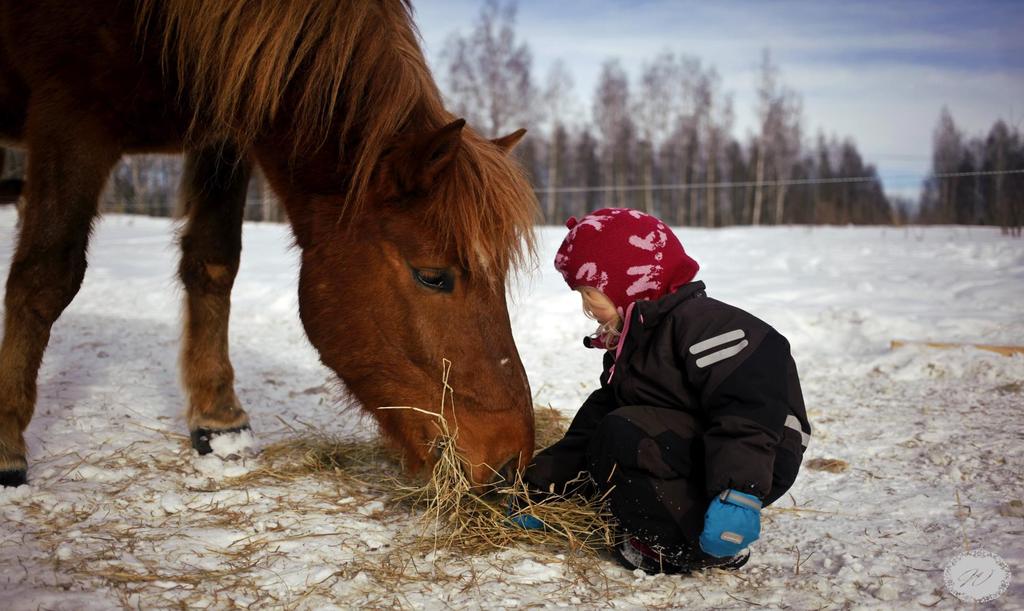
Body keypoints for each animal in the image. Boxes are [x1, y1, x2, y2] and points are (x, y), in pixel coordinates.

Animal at [0, 0, 540, 485]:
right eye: (432, 276)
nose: (509, 464)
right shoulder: (71, 117)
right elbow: (46, 276)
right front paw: (6, 442)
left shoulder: (223, 136)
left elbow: (213, 262)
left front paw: (219, 421)